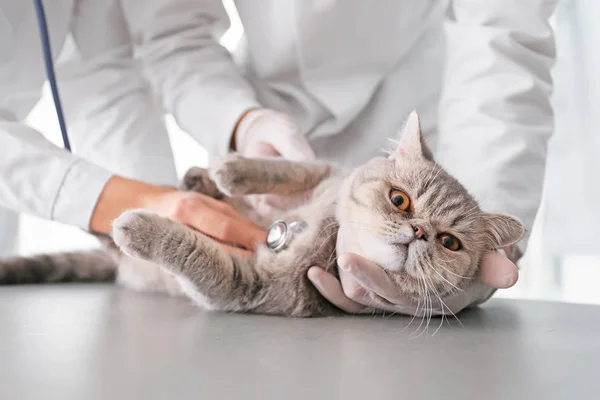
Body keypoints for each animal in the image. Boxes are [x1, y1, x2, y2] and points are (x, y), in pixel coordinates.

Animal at [0, 113, 524, 318]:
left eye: (450, 242)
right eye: (400, 200)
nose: (418, 231)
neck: (326, 226)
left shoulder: (252, 285)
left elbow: (192, 250)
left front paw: (142, 225)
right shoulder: (325, 173)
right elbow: (293, 167)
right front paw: (232, 169)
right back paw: (199, 179)